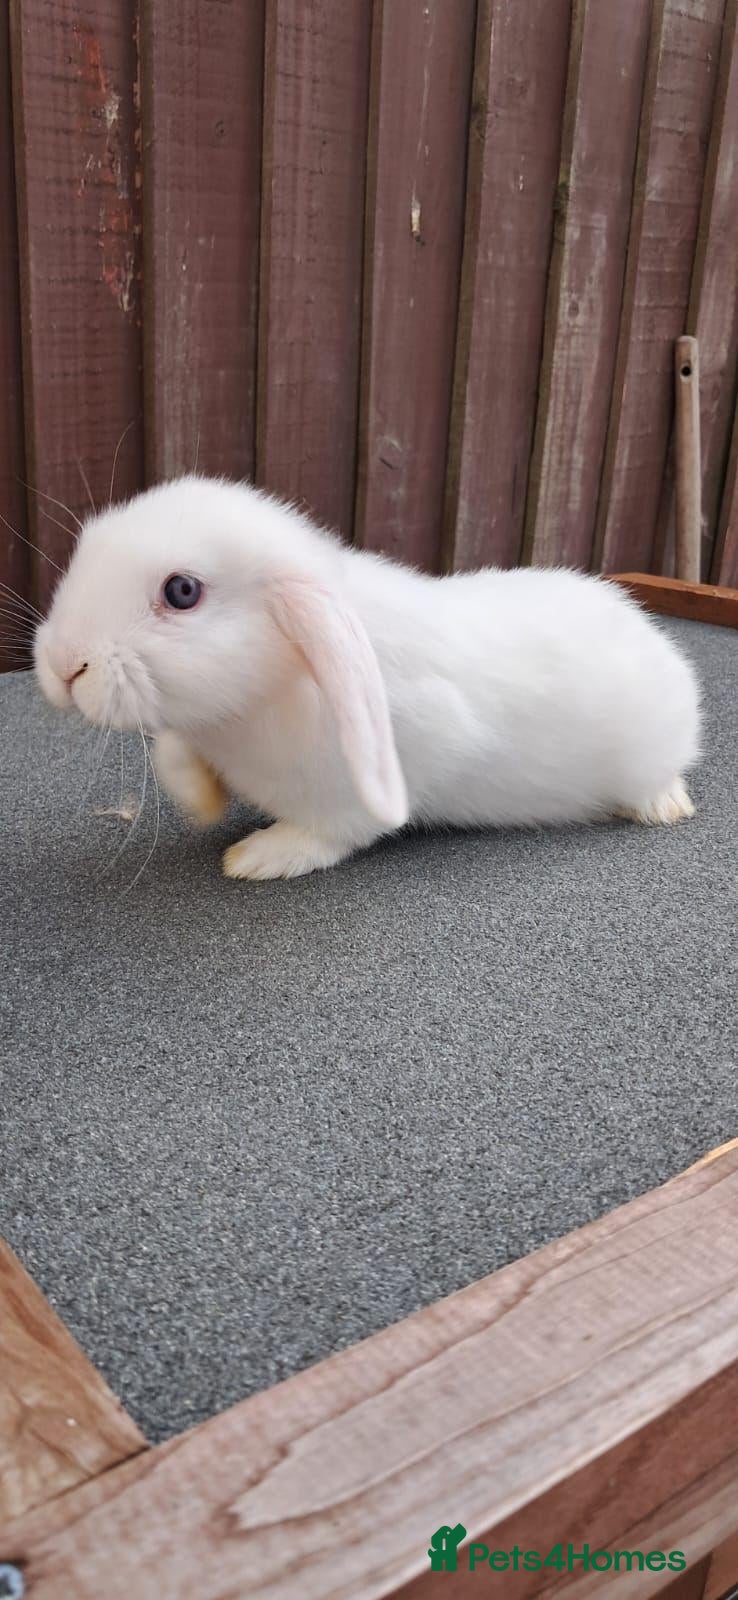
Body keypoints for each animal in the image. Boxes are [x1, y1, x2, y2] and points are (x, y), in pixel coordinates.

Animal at [34, 475, 700, 880]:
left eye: (181, 591)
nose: (63, 666)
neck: (262, 697)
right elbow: (173, 752)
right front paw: (202, 802)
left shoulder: (377, 782)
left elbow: (336, 830)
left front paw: (259, 856)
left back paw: (665, 806)